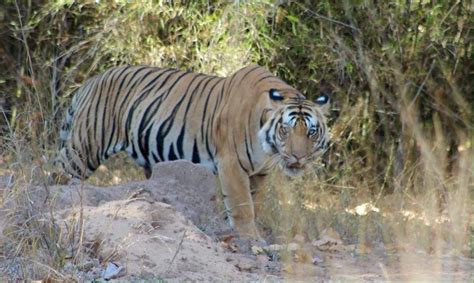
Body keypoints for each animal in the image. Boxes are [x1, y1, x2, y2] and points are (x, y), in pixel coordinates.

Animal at [56, 65, 330, 241]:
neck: (268, 148)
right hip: (84, 148)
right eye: (286, 129)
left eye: (311, 132)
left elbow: (256, 203)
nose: (298, 157)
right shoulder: (232, 165)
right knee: (60, 175)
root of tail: (92, 81)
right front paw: (250, 237)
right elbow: (242, 205)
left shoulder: (260, 174)